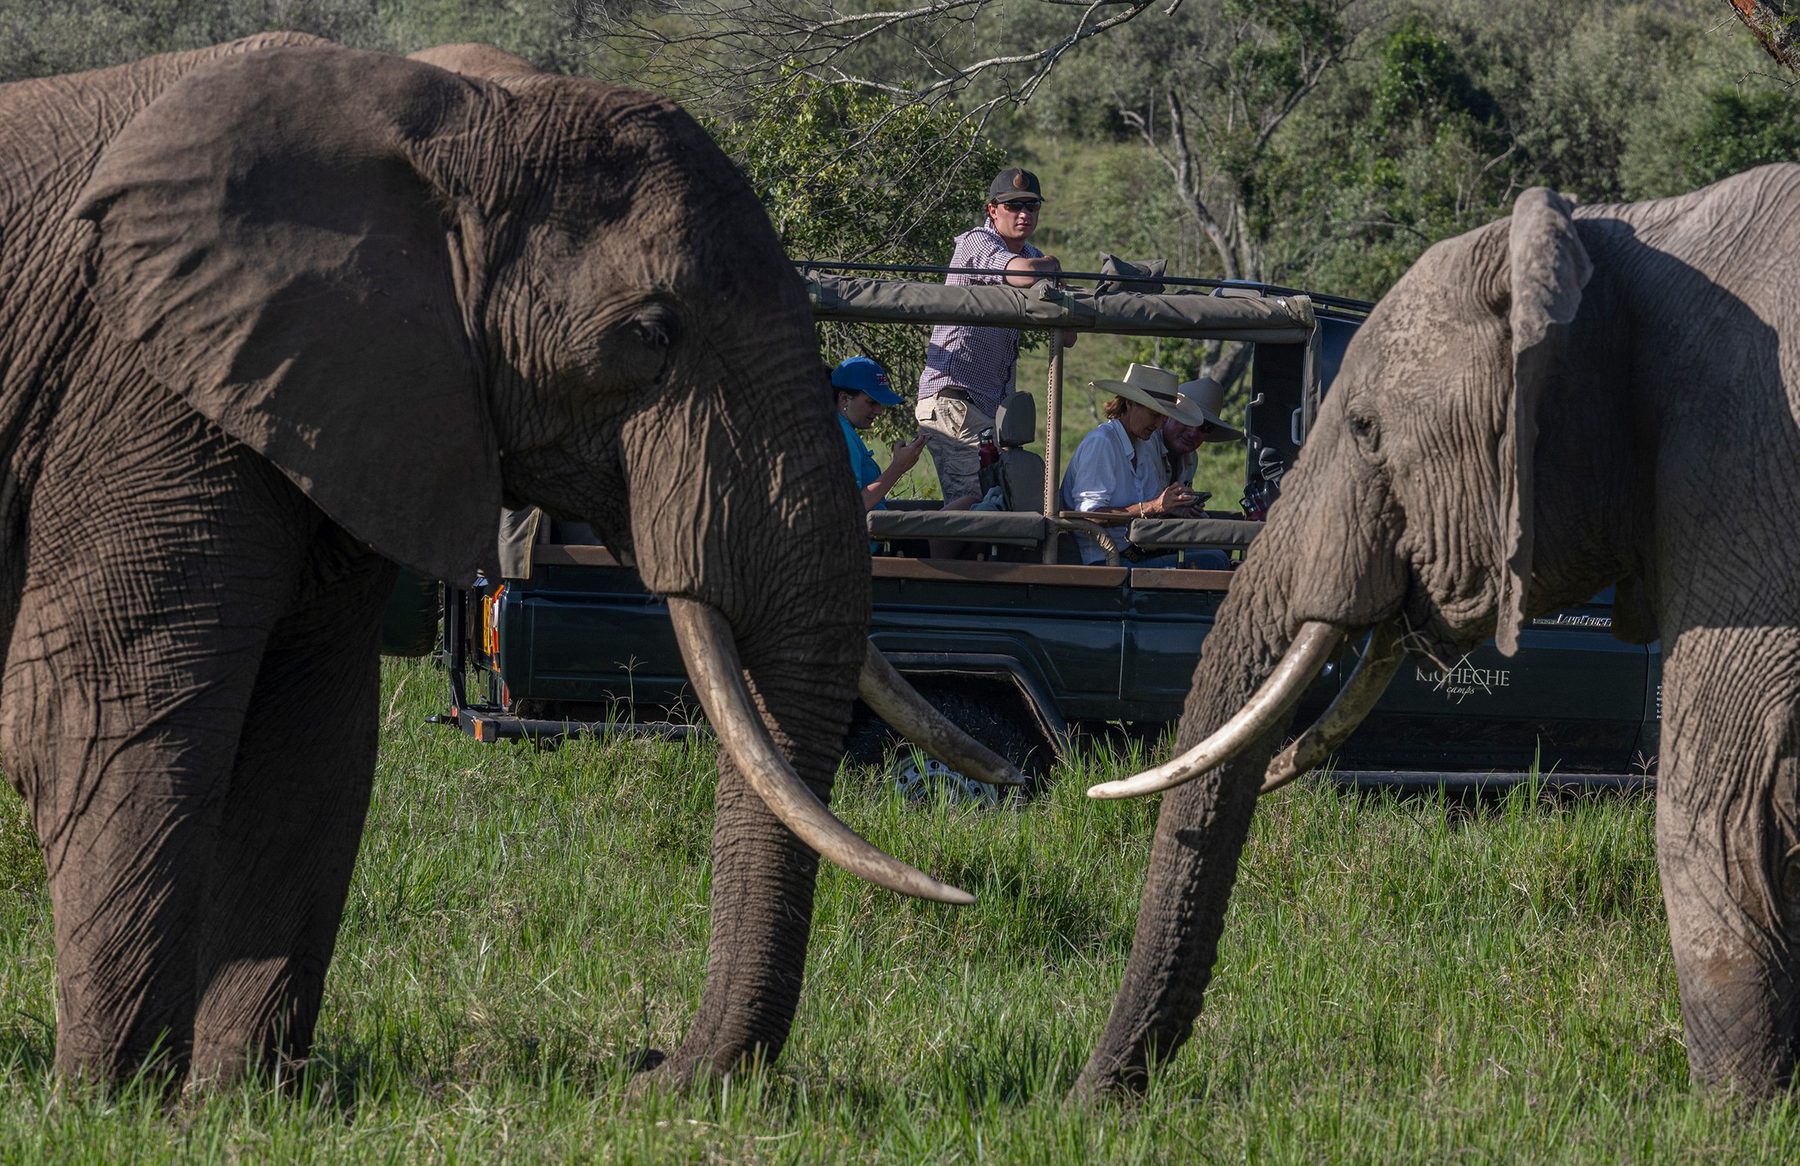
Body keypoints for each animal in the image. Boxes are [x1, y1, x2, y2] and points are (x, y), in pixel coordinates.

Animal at [0, 35, 1016, 1090]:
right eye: (650, 336)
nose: (650, 1064)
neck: (449, 114)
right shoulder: (137, 393)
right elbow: (101, 717)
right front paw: (119, 1101)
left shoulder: (352, 406)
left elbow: (312, 744)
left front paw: (237, 1098)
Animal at [1075, 166, 1800, 1099]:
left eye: (1364, 430)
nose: (1087, 1104)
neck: (1622, 239)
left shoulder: (1745, 465)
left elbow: (1717, 802)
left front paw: (1735, 1115)